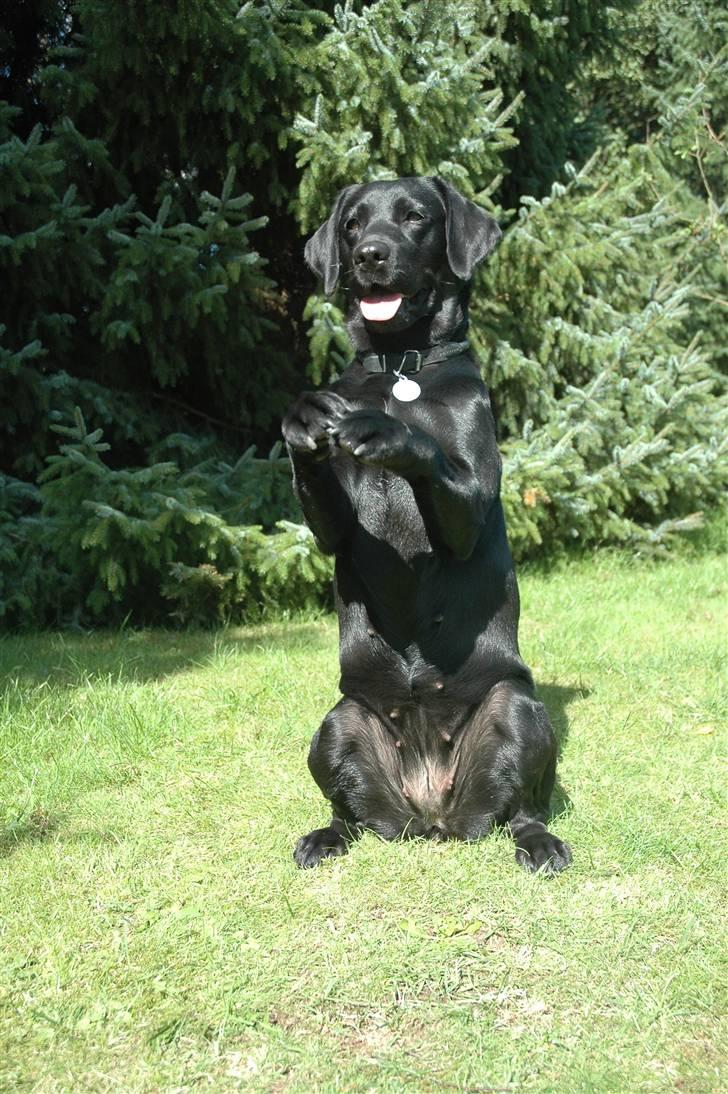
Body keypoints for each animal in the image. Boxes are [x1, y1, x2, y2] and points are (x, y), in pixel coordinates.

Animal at [280, 181, 569, 879]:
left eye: (415, 217)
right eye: (352, 224)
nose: (369, 255)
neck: (398, 370)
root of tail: (433, 812)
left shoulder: (465, 500)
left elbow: (427, 453)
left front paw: (389, 431)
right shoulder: (335, 526)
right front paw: (307, 418)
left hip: (518, 713)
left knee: (523, 807)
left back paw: (540, 844)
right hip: (337, 726)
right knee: (348, 813)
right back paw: (324, 837)